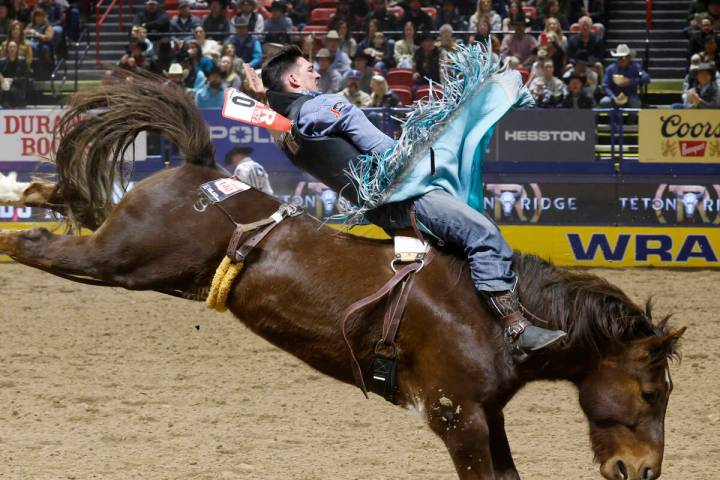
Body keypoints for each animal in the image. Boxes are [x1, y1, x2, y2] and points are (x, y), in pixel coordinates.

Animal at [0, 76, 684, 480]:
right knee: (34, 245)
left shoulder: (487, 416)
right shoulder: (456, 416)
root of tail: (201, 169)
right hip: (120, 258)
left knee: (64, 202)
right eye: (651, 393)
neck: (495, 316)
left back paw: (28, 191)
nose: (642, 471)